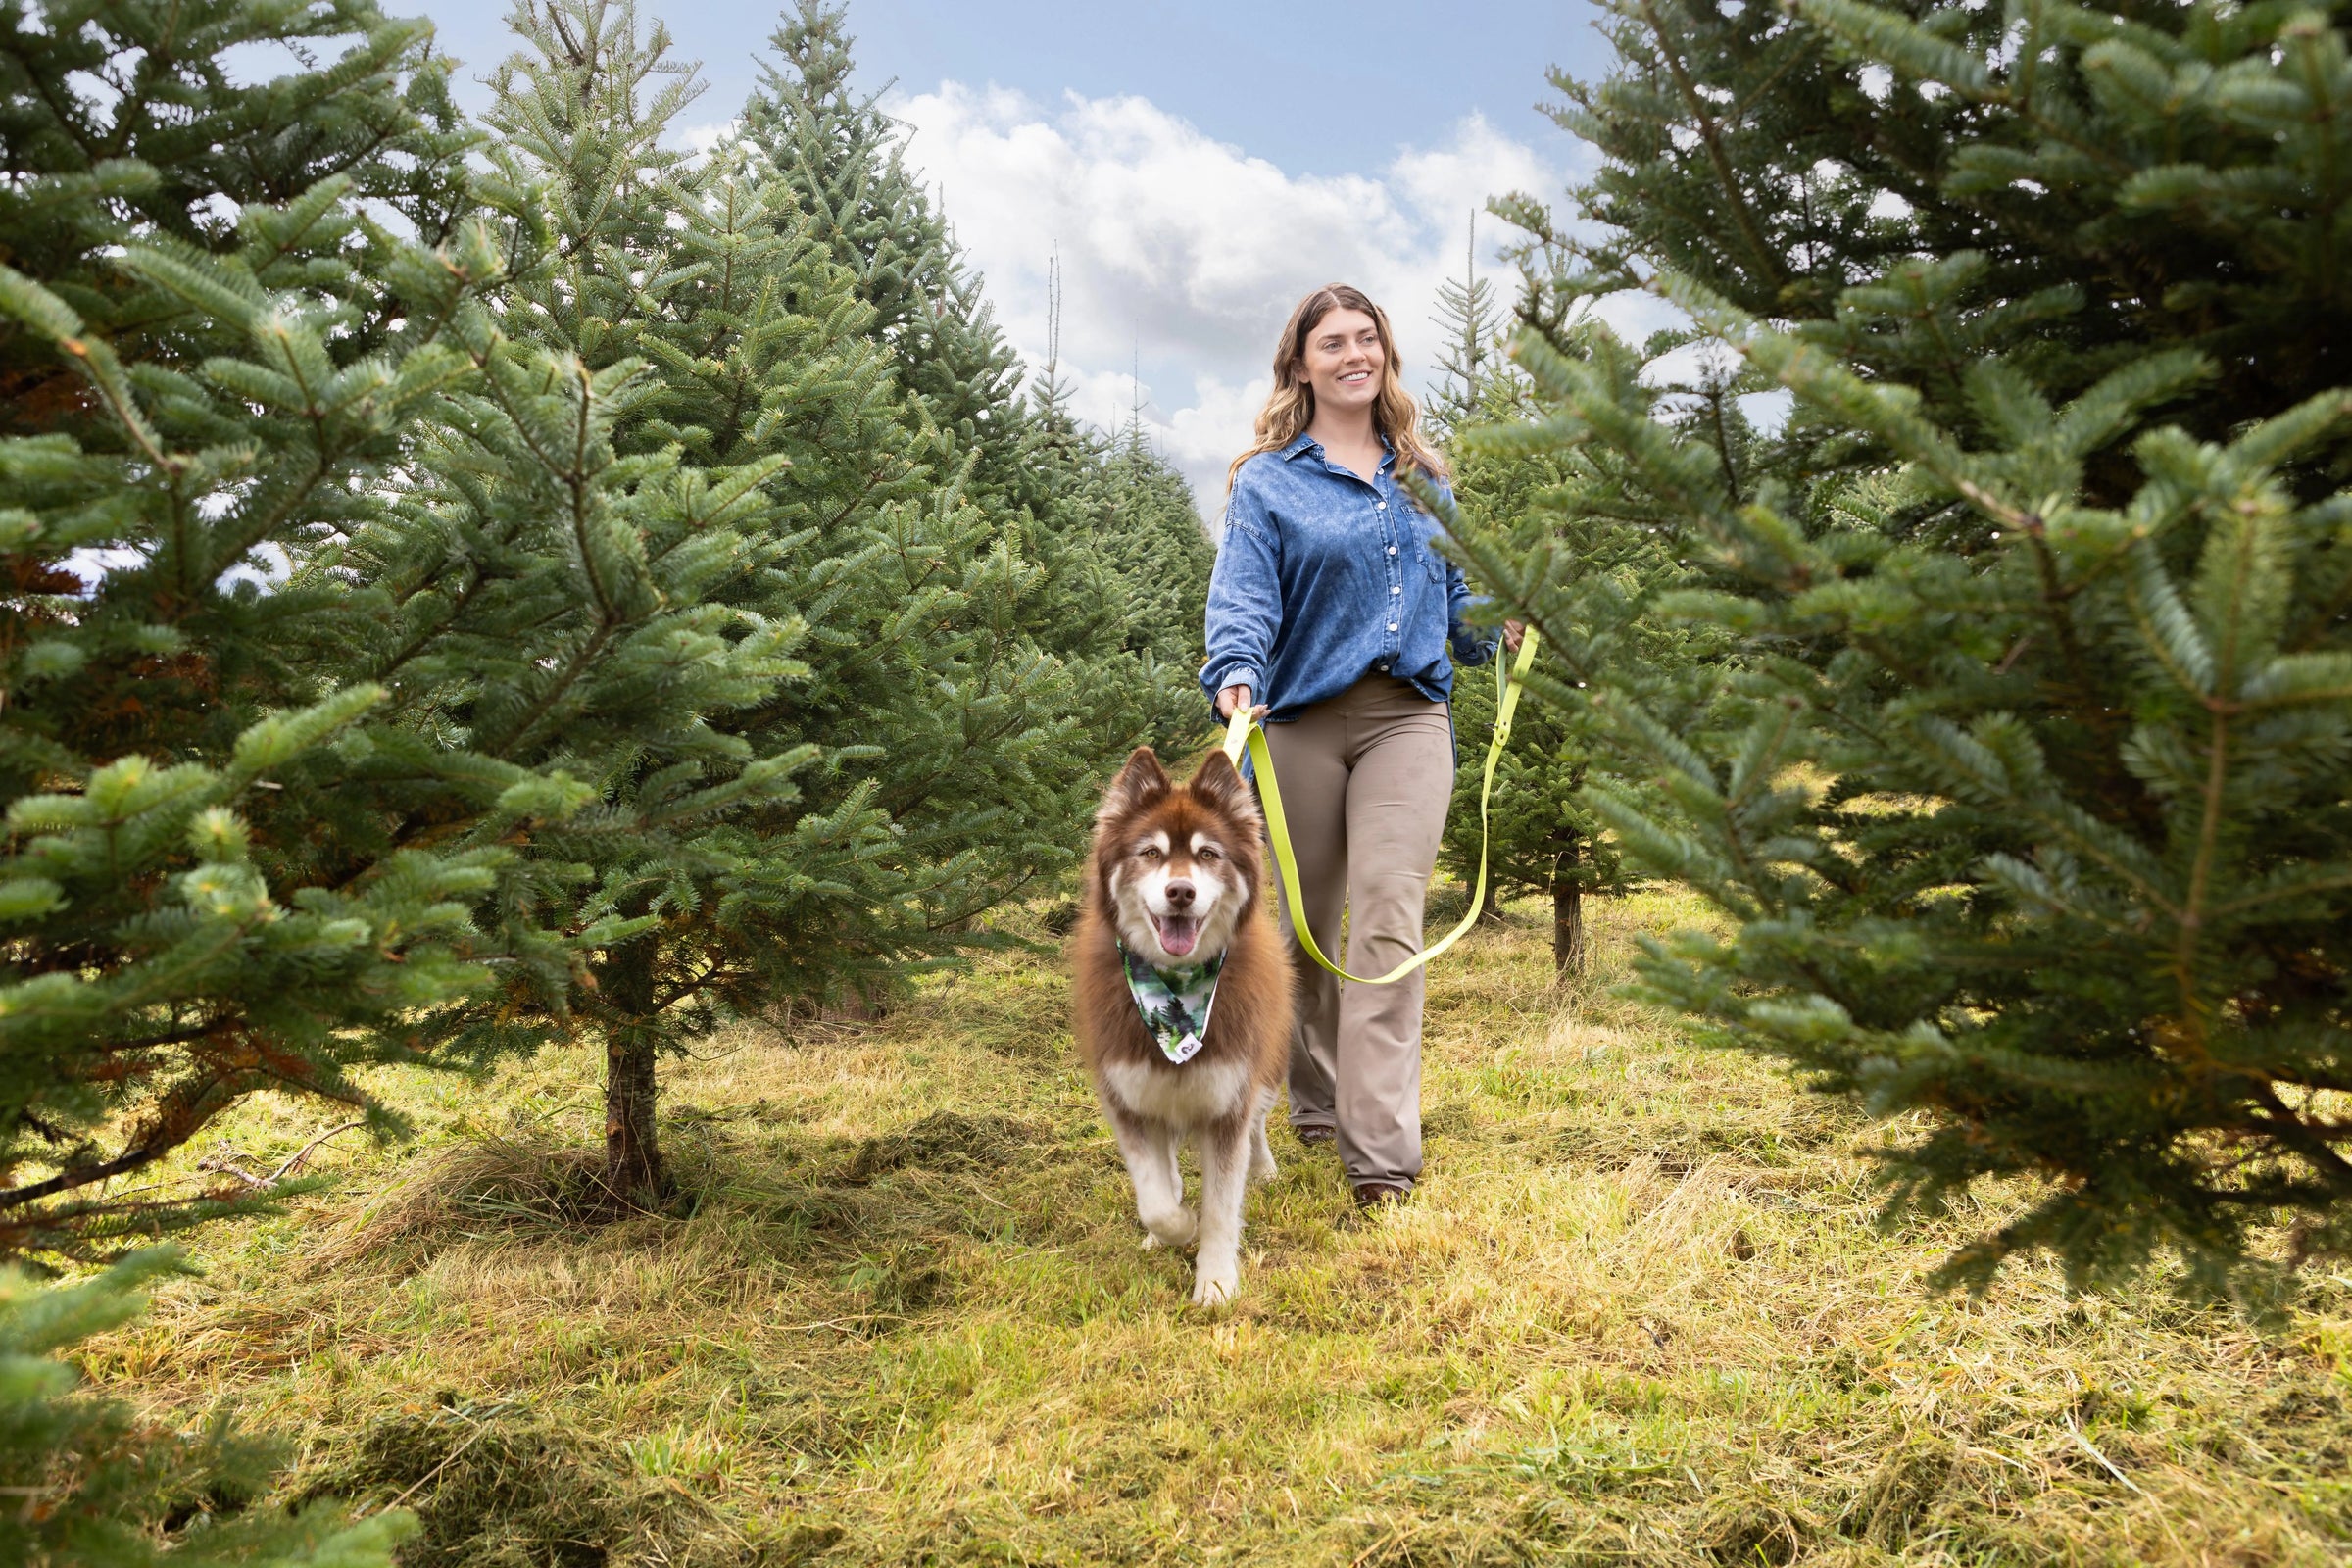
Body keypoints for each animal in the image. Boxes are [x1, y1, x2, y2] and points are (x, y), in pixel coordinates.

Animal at [1077, 747, 1298, 1298]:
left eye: (1208, 855)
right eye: (1151, 853)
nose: (1180, 892)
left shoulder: (1228, 1099)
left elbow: (1221, 1206)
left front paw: (1215, 1285)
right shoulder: (1130, 1098)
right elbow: (1155, 1197)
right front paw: (1175, 1228)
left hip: (1267, 1067)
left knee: (1259, 1126)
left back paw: (1264, 1168)